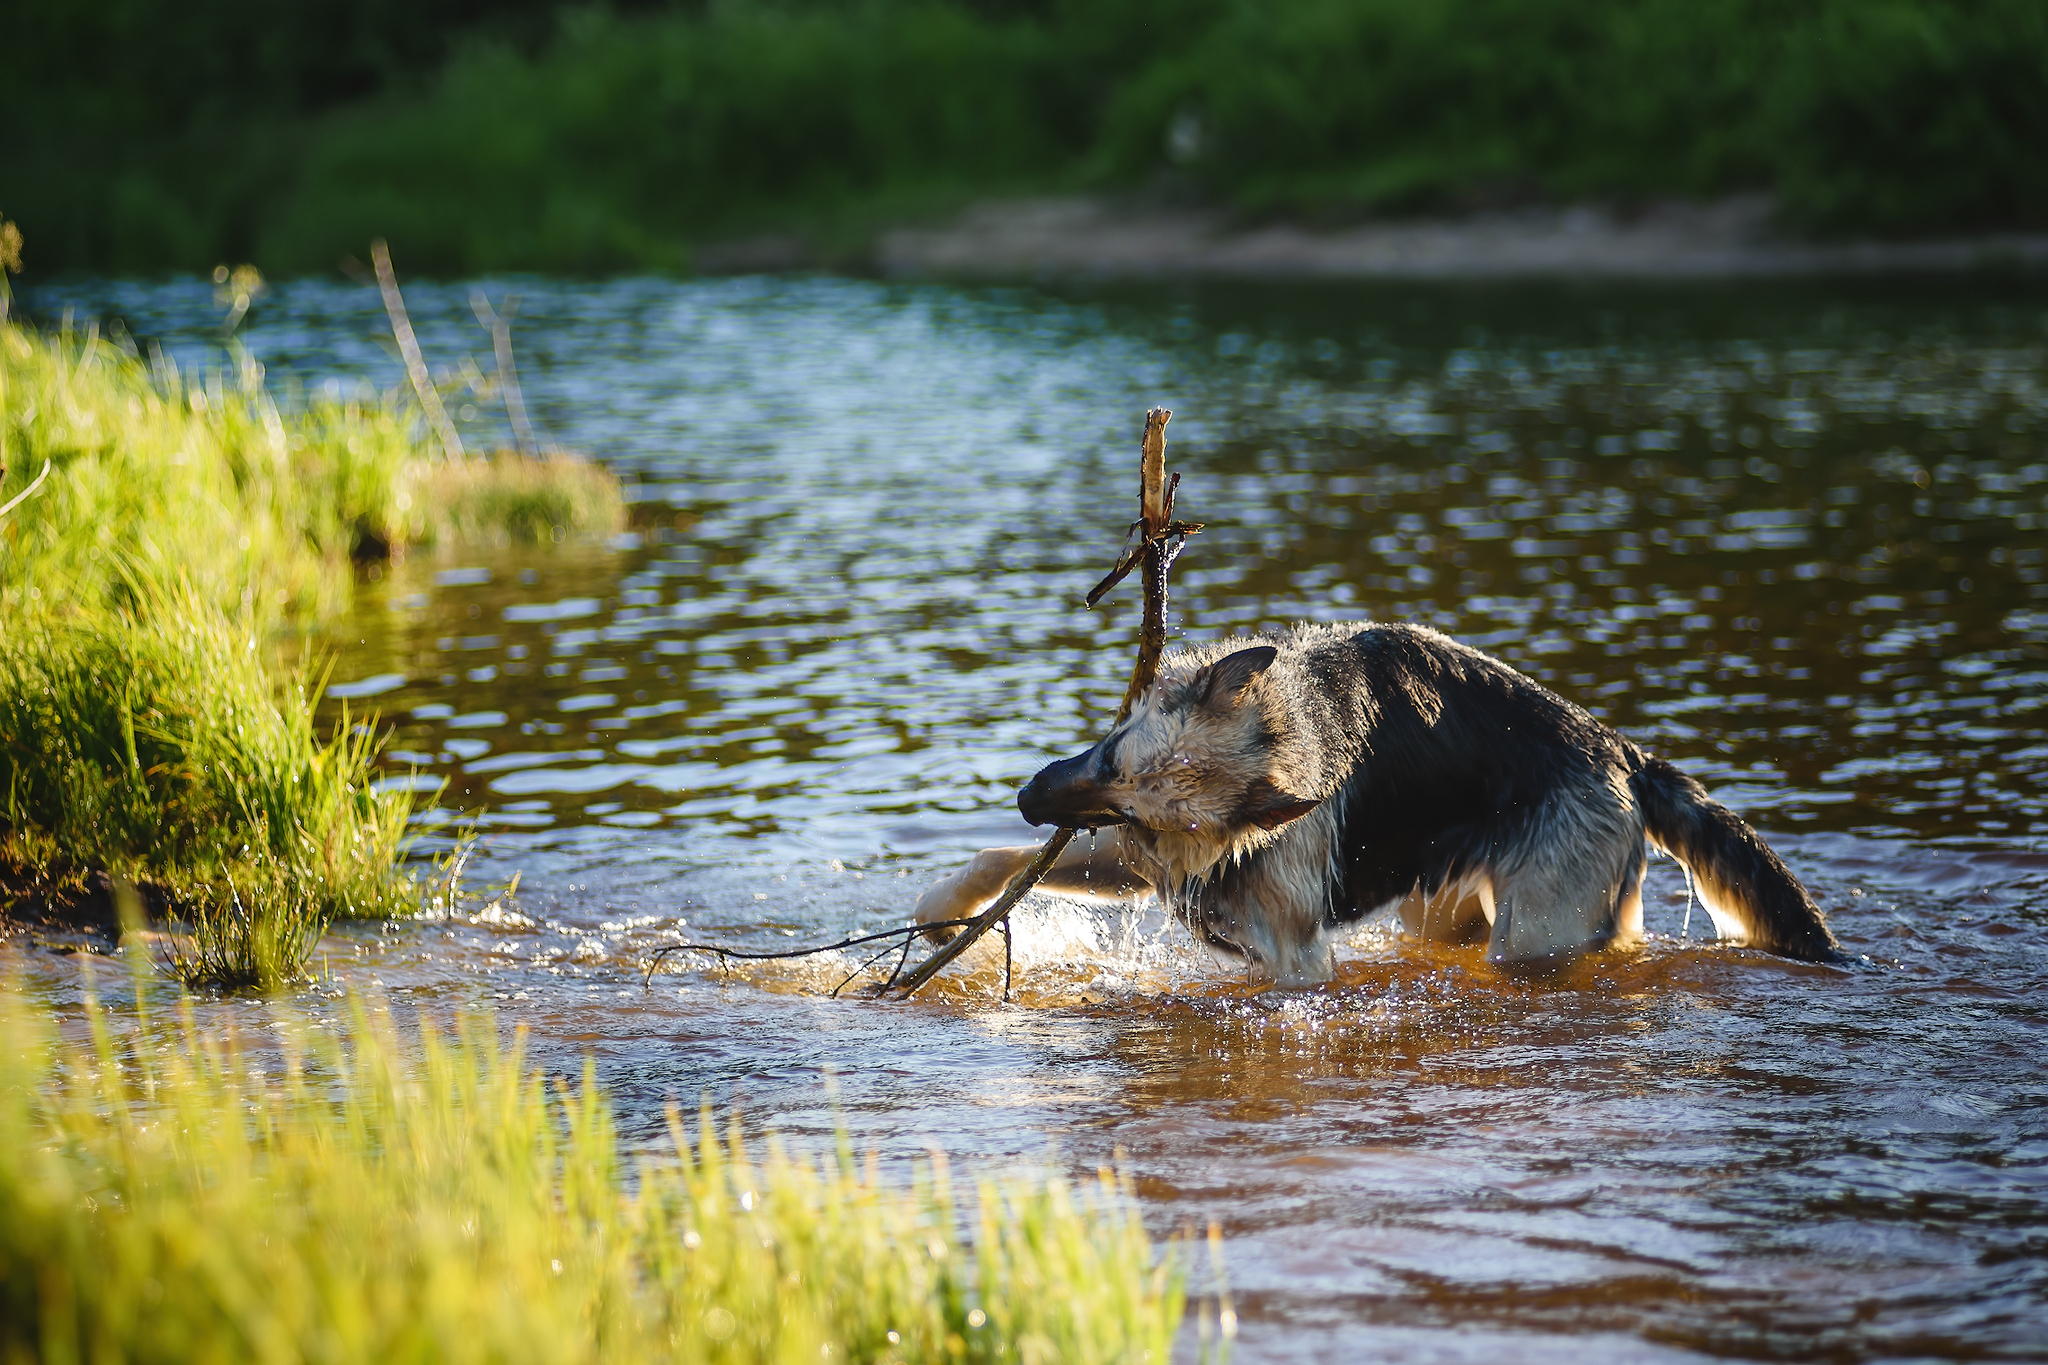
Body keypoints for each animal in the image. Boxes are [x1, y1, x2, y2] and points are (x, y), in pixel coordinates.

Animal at [913, 626, 1843, 986]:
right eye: (1110, 756)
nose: (1029, 799)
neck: (1282, 730)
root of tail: (1620, 751)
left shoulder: (1293, 953)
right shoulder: (1142, 854)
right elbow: (1001, 861)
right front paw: (939, 912)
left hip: (1536, 936)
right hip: (1448, 907)